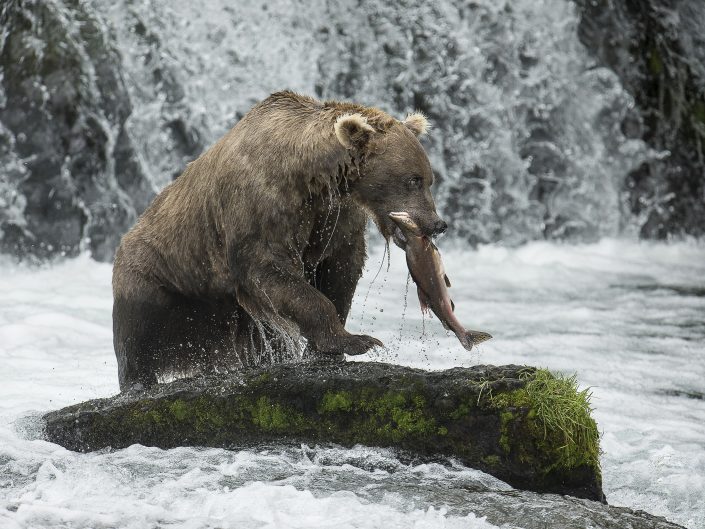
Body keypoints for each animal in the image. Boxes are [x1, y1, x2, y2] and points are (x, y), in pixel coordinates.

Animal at [112, 91, 447, 391]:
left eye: (428, 179)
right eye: (413, 179)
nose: (436, 224)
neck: (311, 177)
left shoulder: (334, 216)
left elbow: (340, 269)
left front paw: (328, 349)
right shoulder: (263, 207)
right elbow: (270, 269)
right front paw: (359, 341)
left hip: (229, 315)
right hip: (162, 274)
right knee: (138, 330)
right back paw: (137, 382)